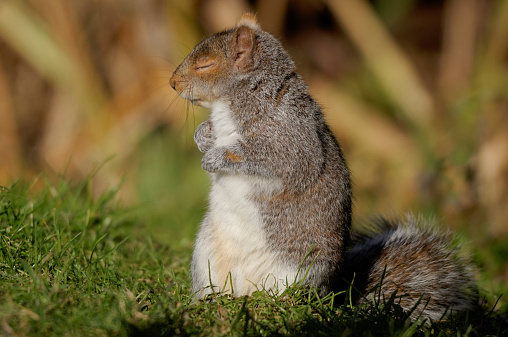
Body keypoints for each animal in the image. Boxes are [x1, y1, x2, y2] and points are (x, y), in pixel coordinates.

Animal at [170, 13, 476, 322]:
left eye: (205, 64)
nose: (172, 83)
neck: (245, 98)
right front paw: (203, 136)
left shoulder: (291, 141)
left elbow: (268, 159)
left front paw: (215, 158)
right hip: (207, 255)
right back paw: (212, 302)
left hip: (295, 273)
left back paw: (270, 303)